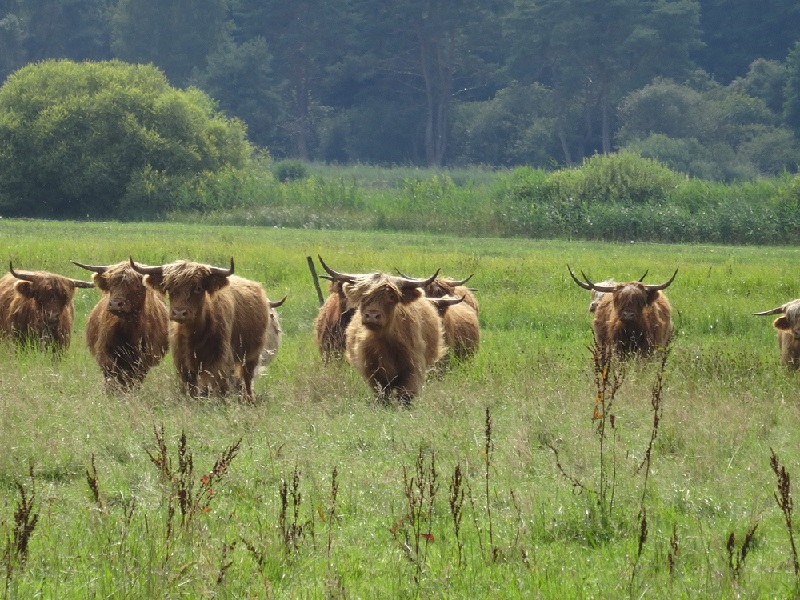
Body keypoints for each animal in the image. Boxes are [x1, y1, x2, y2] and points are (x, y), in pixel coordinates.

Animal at [72, 260, 171, 392]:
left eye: (136, 285)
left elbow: (133, 380)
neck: (128, 331)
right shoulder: (104, 354)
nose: (115, 304)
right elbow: (112, 377)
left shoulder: (144, 360)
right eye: (111, 284)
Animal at [132, 258, 278, 404]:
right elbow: (191, 387)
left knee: (247, 377)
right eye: (169, 288)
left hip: (252, 355)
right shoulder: (183, 362)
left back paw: (249, 399)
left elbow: (210, 385)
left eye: (198, 288)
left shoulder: (217, 360)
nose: (179, 313)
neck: (194, 334)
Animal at [324, 262, 450, 404]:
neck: (384, 343)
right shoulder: (373, 373)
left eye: (391, 297)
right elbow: (382, 396)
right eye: (364, 296)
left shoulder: (413, 370)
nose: (372, 316)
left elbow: (405, 396)